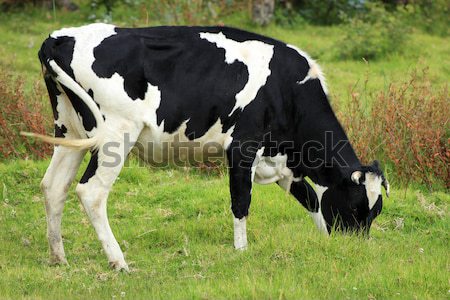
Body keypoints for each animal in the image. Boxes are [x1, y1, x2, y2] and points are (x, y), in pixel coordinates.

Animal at [24, 23, 388, 272]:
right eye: (356, 207)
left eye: (376, 211)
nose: (356, 248)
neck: (288, 90)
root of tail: (60, 37)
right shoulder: (243, 147)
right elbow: (241, 203)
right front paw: (241, 252)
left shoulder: (283, 162)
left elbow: (312, 199)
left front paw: (324, 240)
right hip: (115, 134)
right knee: (91, 191)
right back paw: (119, 262)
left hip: (68, 129)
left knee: (53, 186)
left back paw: (59, 258)